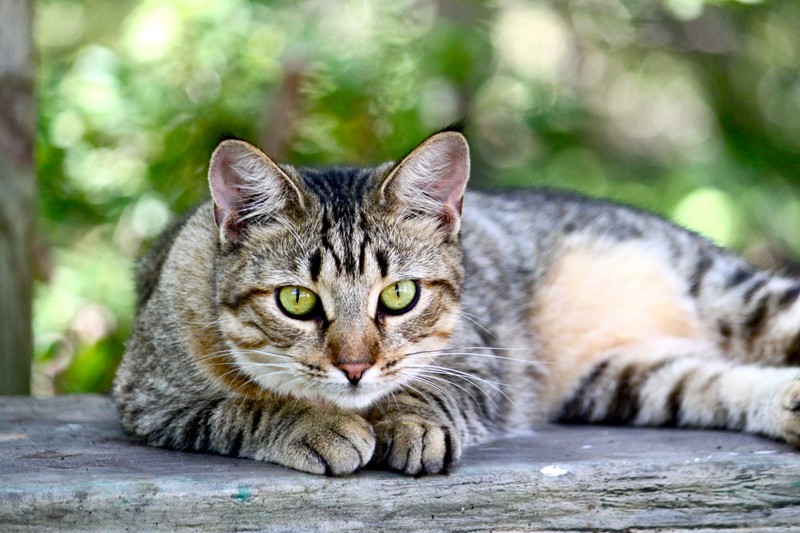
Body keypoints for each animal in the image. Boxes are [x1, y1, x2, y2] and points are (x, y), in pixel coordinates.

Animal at [114, 128, 800, 474]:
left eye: (399, 294)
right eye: (296, 301)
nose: (355, 367)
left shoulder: (481, 357)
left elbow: (431, 388)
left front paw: (411, 421)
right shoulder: (151, 400)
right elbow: (242, 407)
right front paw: (317, 424)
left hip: (731, 292)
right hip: (625, 377)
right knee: (709, 380)